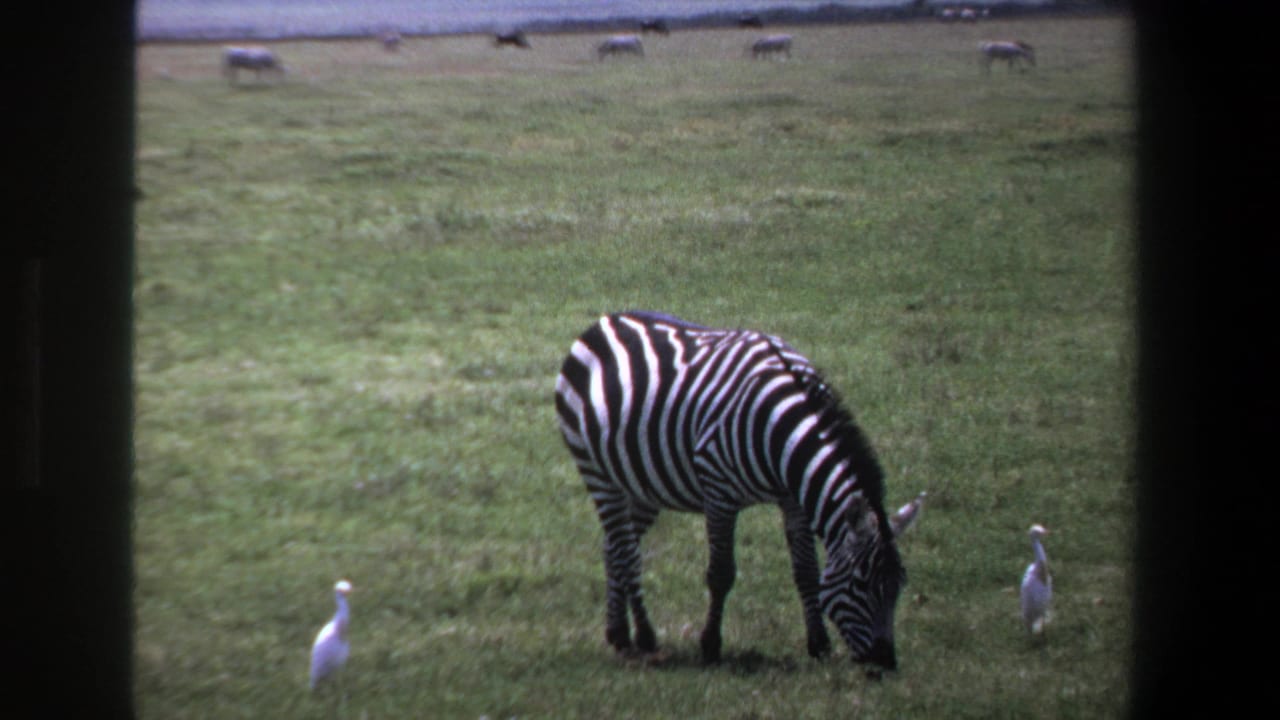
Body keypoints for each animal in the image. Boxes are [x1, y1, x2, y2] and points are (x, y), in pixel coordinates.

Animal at [555, 311, 909, 669]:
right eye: (861, 583)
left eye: (899, 586)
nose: (885, 663)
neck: (781, 432)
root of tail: (605, 320)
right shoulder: (719, 492)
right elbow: (721, 574)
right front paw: (710, 645)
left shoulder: (792, 500)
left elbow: (806, 571)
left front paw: (819, 644)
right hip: (597, 473)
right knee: (627, 552)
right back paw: (644, 636)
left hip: (641, 484)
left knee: (613, 545)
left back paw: (618, 634)